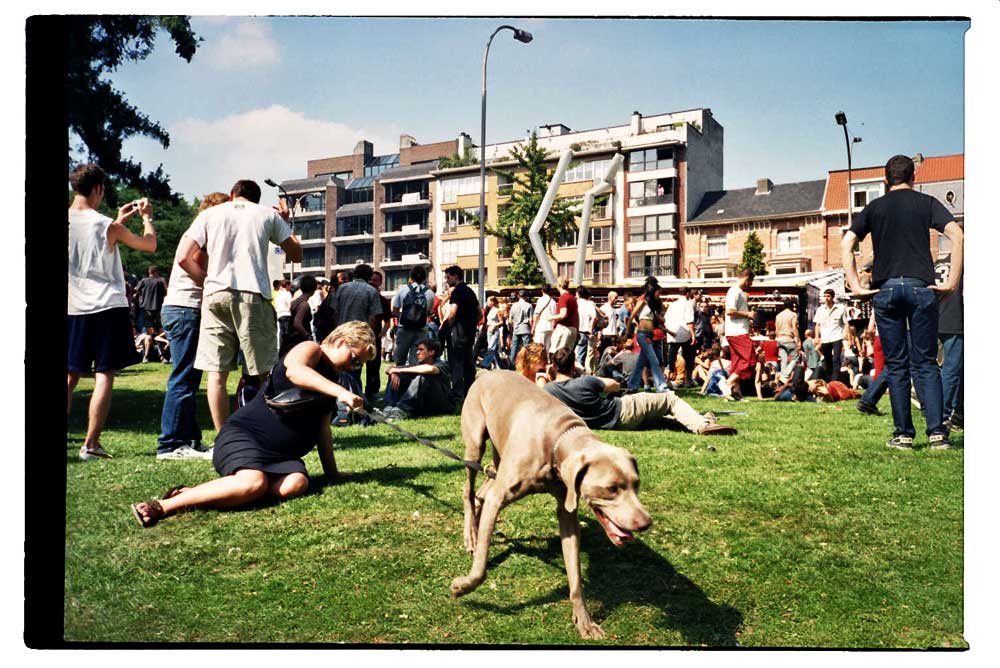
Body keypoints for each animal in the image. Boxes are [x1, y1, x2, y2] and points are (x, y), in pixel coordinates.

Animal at [450, 370, 652, 636]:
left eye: (636, 483)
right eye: (611, 488)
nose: (645, 522)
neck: (556, 439)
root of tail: (486, 371)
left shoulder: (567, 507)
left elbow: (575, 576)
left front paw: (584, 621)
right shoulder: (499, 497)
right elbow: (481, 567)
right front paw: (463, 586)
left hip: (497, 453)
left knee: (481, 492)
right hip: (475, 443)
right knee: (469, 490)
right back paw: (471, 535)